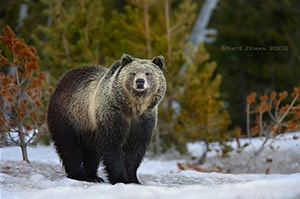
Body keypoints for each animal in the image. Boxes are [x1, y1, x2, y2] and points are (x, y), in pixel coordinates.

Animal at [47, 53, 166, 184]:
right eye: (133, 73)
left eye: (148, 73)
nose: (140, 82)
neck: (132, 108)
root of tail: (64, 78)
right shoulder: (112, 115)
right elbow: (111, 146)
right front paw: (120, 178)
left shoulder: (143, 120)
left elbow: (135, 148)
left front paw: (133, 179)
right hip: (69, 118)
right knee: (69, 147)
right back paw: (79, 175)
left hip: (88, 128)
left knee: (91, 153)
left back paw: (93, 176)